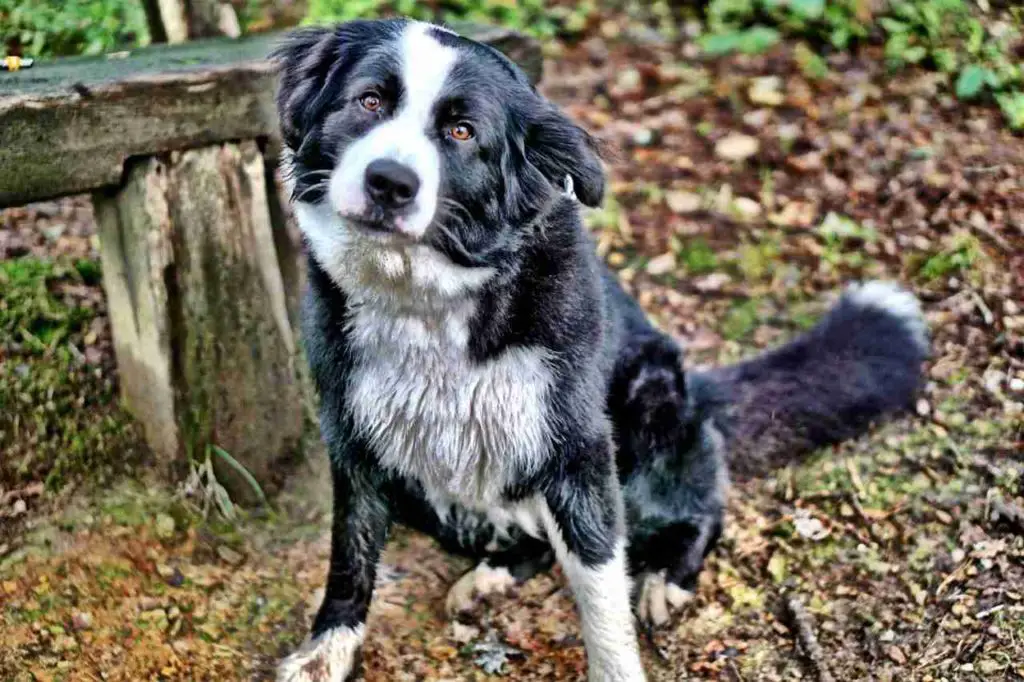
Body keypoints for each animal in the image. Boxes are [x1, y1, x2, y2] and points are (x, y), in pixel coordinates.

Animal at [272, 18, 929, 675]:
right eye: (369, 101)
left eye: (462, 132)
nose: (390, 182)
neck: (425, 303)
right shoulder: (355, 442)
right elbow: (350, 556)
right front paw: (326, 648)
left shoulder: (579, 452)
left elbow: (599, 584)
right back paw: (492, 575)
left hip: (650, 406)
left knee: (699, 499)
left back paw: (667, 573)